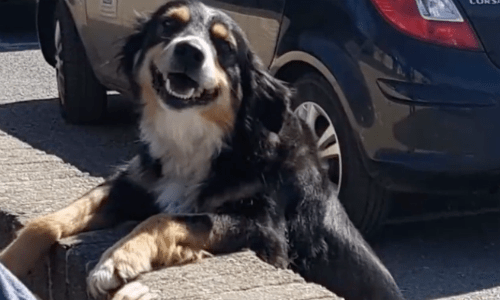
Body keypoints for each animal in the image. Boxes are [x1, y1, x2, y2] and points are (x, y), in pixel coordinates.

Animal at [0, 1, 404, 298]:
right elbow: (47, 220)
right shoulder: (133, 183)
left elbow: (169, 219)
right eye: (168, 26)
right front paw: (10, 259)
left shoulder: (266, 230)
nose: (189, 51)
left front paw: (117, 260)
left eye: (224, 46)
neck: (196, 140)